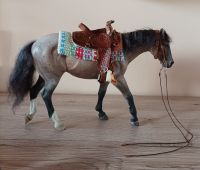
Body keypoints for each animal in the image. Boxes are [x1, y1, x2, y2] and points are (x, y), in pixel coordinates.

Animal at [8, 24, 173, 130]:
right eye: (165, 44)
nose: (170, 63)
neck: (123, 48)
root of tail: (35, 43)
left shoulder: (105, 78)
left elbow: (101, 94)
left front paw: (101, 113)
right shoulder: (118, 78)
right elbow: (129, 96)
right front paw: (134, 119)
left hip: (44, 77)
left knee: (34, 91)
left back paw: (29, 116)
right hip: (53, 78)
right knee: (45, 95)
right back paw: (57, 123)